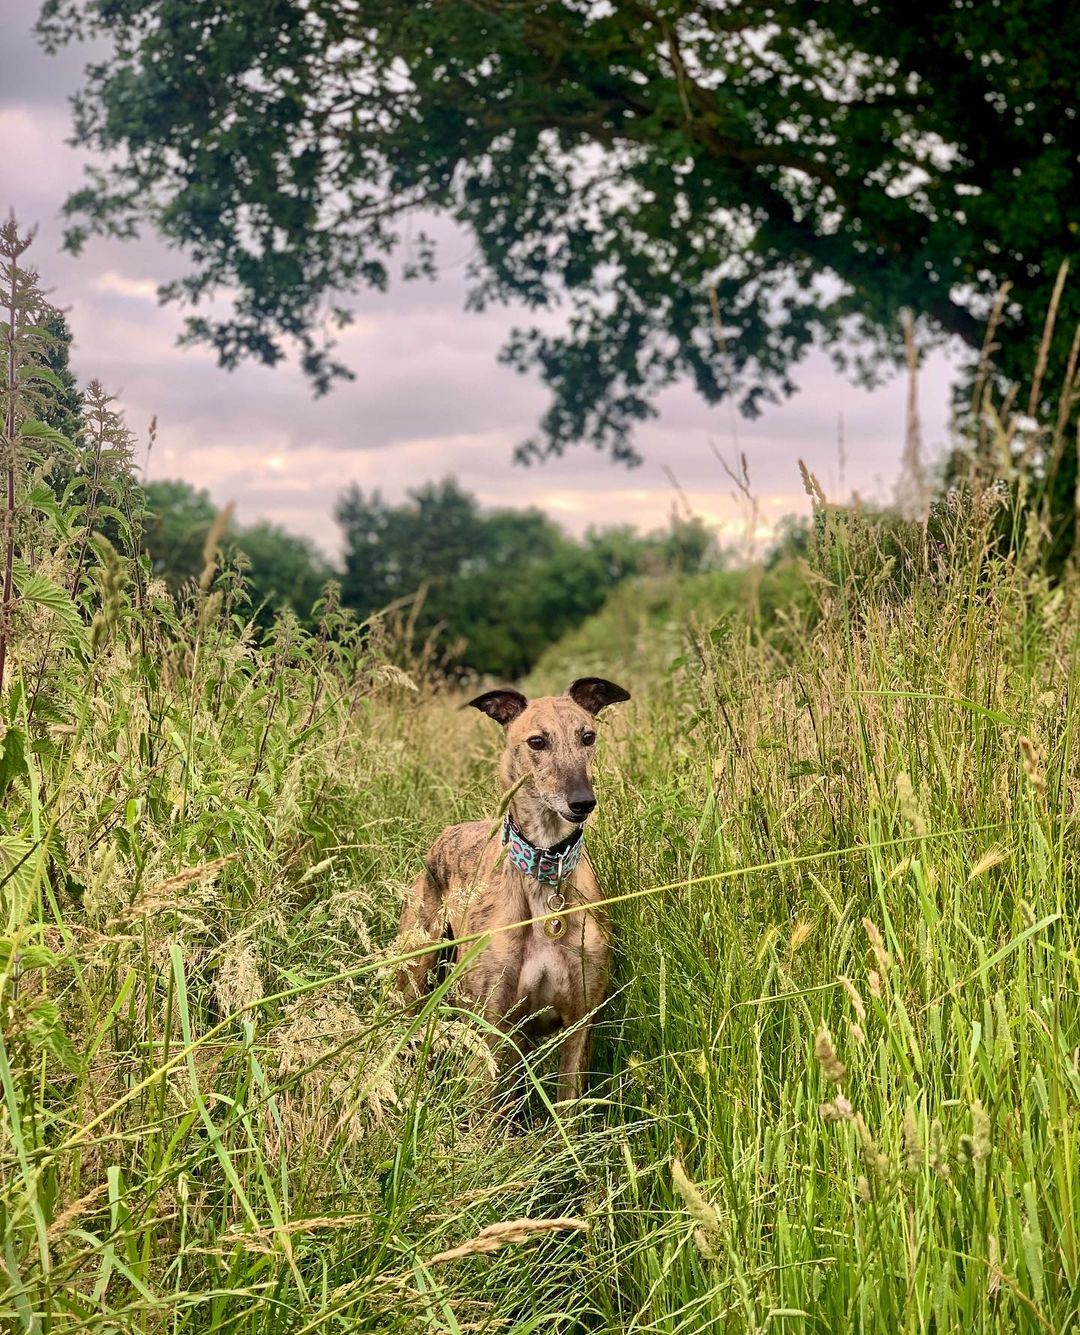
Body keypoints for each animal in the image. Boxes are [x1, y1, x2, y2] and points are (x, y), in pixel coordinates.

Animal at [397, 678, 627, 1105]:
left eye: (587, 736)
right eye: (537, 741)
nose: (582, 802)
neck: (546, 872)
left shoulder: (579, 1023)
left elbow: (568, 1108)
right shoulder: (490, 1027)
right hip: (413, 970)